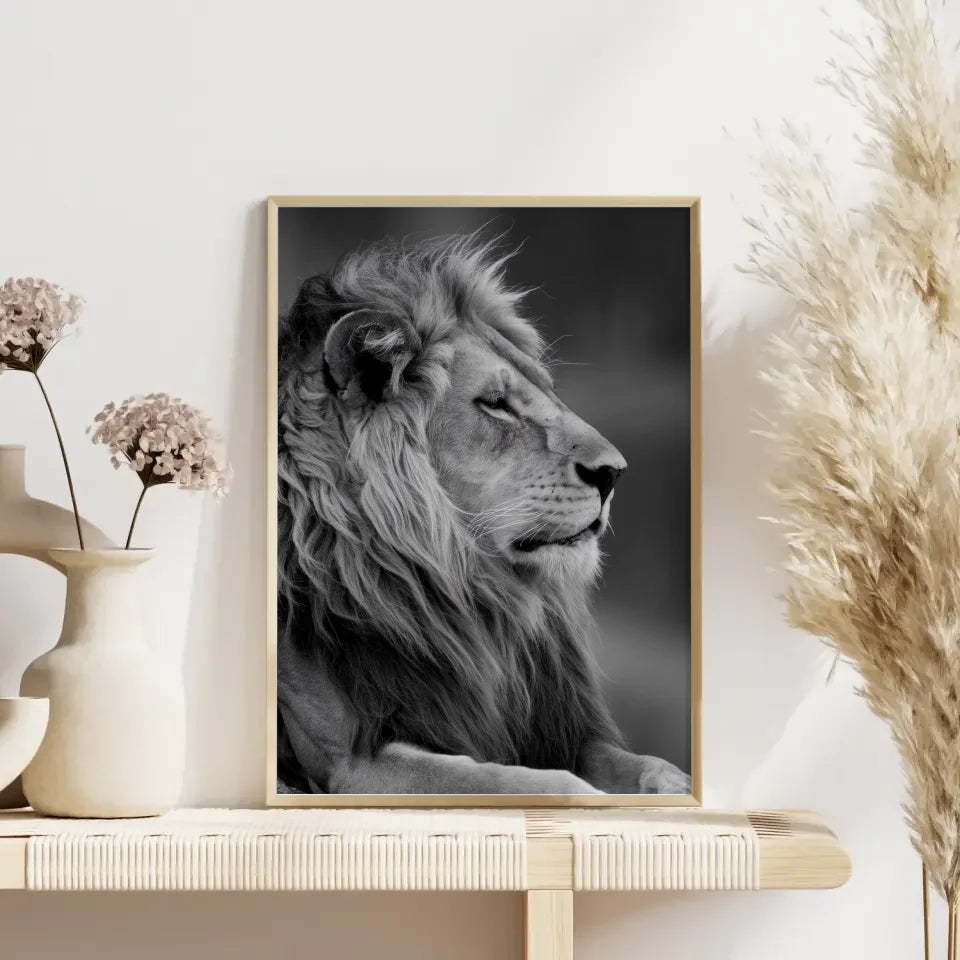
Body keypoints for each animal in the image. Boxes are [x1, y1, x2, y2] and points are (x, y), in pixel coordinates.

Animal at [276, 233, 690, 795]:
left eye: (547, 391)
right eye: (495, 403)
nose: (614, 473)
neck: (468, 596)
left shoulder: (554, 730)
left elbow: (652, 767)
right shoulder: (350, 762)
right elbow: (530, 783)